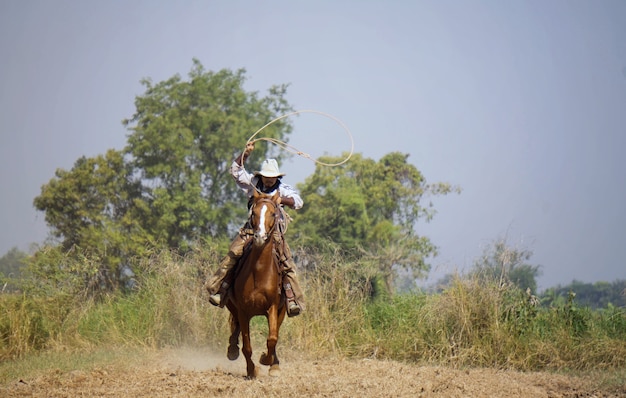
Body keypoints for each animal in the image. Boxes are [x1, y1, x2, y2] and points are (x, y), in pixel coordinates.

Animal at [224, 190, 286, 380]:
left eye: (273, 213)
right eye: (254, 213)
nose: (259, 237)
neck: (259, 273)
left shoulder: (272, 307)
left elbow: (272, 339)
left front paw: (267, 360)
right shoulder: (243, 311)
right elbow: (247, 346)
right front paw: (252, 370)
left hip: (281, 311)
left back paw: (274, 364)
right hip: (233, 307)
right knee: (235, 329)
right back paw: (232, 350)